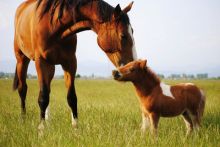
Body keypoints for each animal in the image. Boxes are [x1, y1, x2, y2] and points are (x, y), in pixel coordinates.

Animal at [13, 0, 136, 129]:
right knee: (23, 89)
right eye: (123, 35)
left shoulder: (70, 62)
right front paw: (41, 128)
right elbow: (43, 97)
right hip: (22, 59)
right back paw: (23, 119)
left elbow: (71, 97)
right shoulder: (41, 62)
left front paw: (75, 127)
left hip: (51, 66)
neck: (54, 27)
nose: (132, 63)